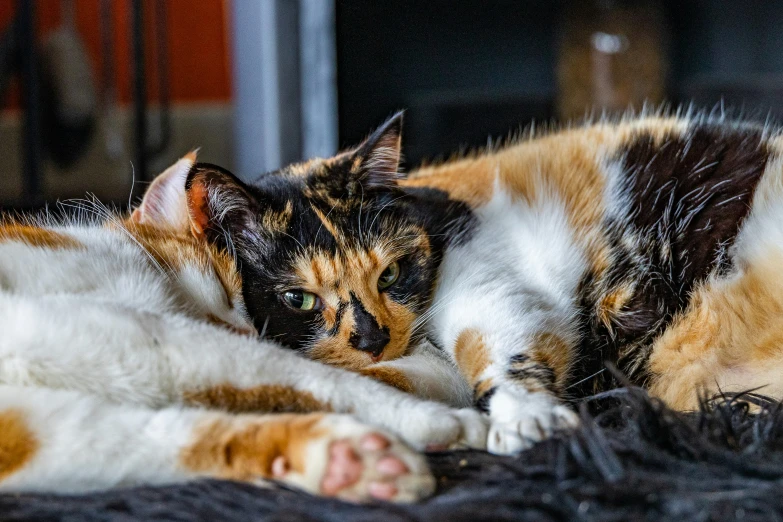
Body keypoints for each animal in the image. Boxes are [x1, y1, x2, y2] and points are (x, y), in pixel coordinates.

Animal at [0, 153, 490, 500]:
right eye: (223, 286)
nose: (251, 332)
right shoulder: (130, 335)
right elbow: (311, 377)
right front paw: (444, 422)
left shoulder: (36, 430)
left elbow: (180, 438)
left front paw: (344, 461)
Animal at [181, 109, 783, 450]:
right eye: (299, 299)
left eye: (392, 272)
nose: (373, 338)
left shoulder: (490, 285)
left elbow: (495, 343)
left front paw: (527, 419)